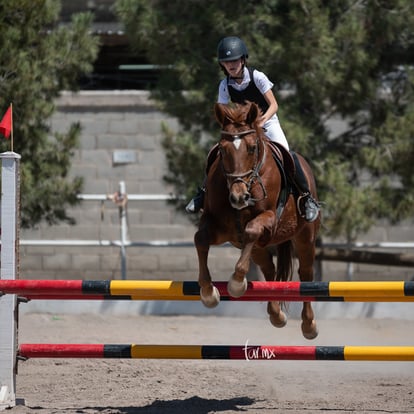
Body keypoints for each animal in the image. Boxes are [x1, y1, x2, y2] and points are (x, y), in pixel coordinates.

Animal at [194, 101, 320, 340]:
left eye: (252, 148)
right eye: (221, 150)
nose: (238, 197)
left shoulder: (269, 218)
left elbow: (251, 229)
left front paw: (236, 284)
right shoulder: (218, 226)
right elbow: (200, 239)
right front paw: (208, 293)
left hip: (304, 237)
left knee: (307, 273)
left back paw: (309, 325)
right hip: (259, 248)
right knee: (269, 269)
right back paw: (276, 315)